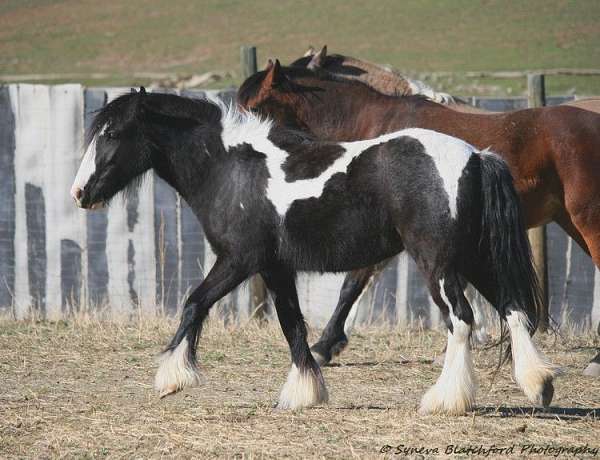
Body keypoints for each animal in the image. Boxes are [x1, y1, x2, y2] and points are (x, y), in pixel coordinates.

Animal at [71, 89, 556, 414]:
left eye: (112, 132)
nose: (80, 193)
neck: (231, 169)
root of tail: (477, 157)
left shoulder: (238, 261)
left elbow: (195, 304)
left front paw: (171, 378)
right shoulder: (275, 268)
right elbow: (293, 326)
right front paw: (307, 391)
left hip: (437, 263)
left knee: (462, 320)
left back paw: (445, 399)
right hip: (473, 258)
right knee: (513, 309)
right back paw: (540, 386)